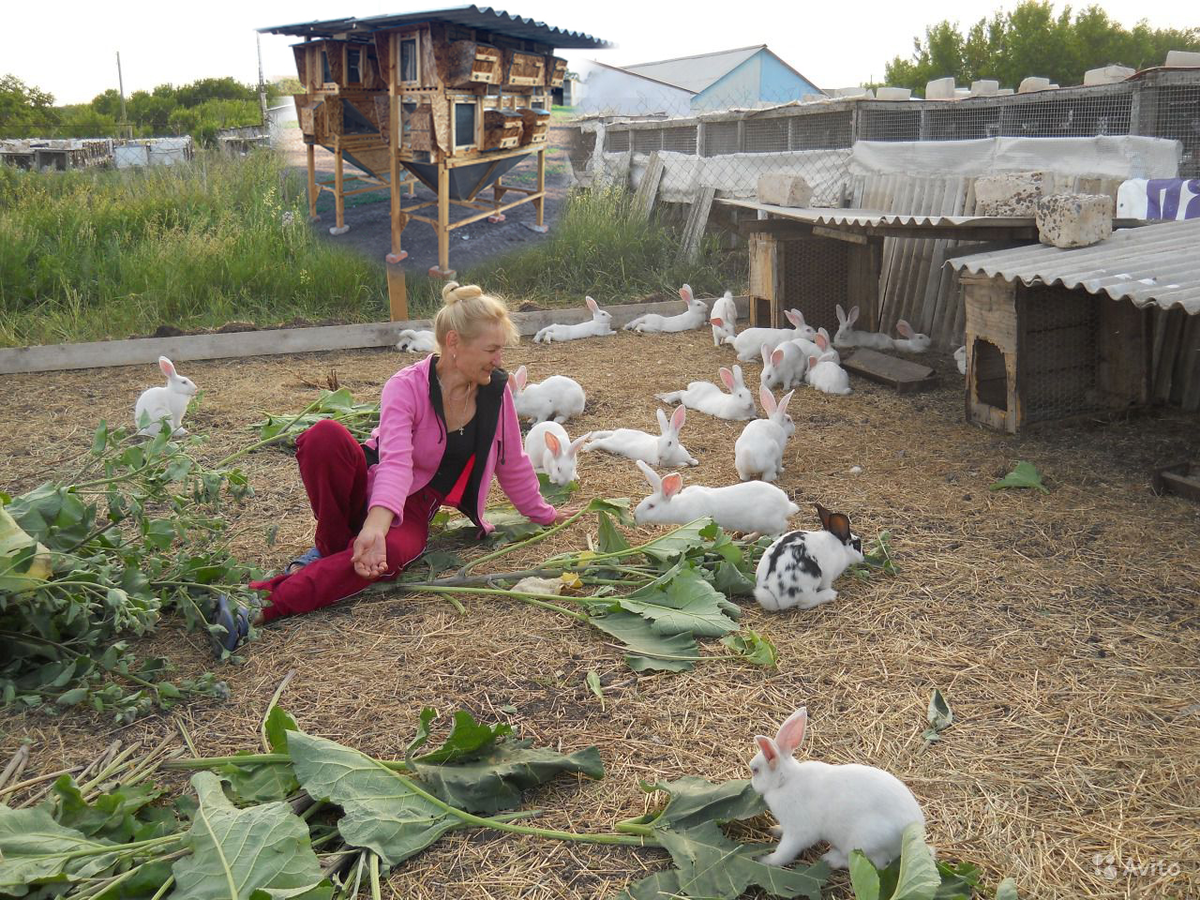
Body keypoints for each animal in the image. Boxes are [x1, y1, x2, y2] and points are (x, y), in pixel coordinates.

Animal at [633, 460, 801, 540]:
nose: (635, 516)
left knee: (782, 527)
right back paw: (747, 537)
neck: (679, 506)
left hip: (768, 521)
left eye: (651, 506)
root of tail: (786, 505)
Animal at [748, 710, 926, 868]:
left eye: (755, 770)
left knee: (874, 863)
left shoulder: (798, 832)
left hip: (863, 842)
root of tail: (915, 833)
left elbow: (784, 852)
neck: (785, 781)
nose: (751, 784)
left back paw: (831, 859)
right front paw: (775, 830)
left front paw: (766, 860)